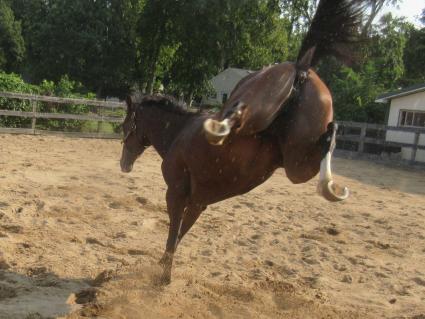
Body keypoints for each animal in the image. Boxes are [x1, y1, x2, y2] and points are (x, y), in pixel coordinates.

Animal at [120, 0, 364, 284]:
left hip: (256, 96)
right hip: (297, 164)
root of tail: (301, 69)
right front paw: (163, 265)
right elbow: (180, 233)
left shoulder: (177, 193)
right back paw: (331, 186)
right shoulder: (198, 202)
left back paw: (218, 128)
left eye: (125, 126)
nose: (124, 164)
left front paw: (164, 274)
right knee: (328, 138)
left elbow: (173, 232)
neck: (178, 132)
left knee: (239, 110)